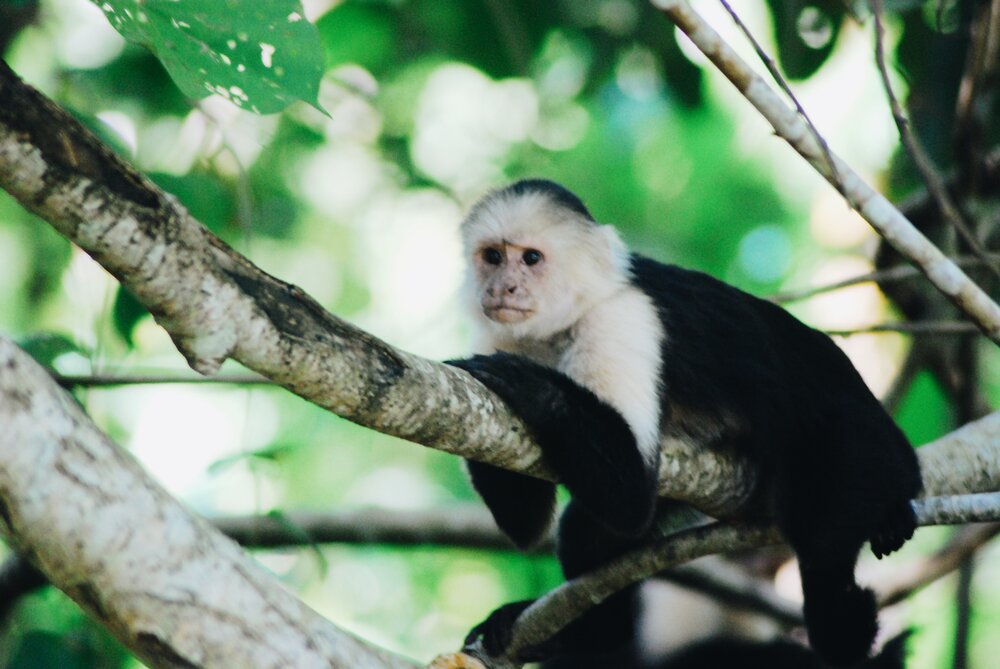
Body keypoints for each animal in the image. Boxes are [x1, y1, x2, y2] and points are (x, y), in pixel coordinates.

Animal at [446, 179, 922, 666]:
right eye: (492, 256)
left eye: (531, 258)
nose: (502, 287)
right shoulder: (500, 332)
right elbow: (528, 523)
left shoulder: (621, 319)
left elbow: (630, 494)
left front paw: (528, 385)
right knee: (587, 531)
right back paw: (588, 635)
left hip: (854, 440)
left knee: (824, 548)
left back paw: (849, 629)